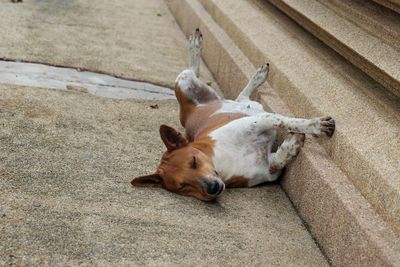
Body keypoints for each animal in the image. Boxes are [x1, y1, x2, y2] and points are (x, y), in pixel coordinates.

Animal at [131, 28, 334, 201]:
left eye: (194, 162)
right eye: (183, 186)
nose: (212, 188)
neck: (220, 161)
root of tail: (189, 111)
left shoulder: (259, 121)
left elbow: (286, 121)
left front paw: (316, 126)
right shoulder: (268, 170)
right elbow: (279, 159)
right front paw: (292, 143)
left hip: (185, 81)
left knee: (193, 69)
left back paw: (197, 45)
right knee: (242, 96)